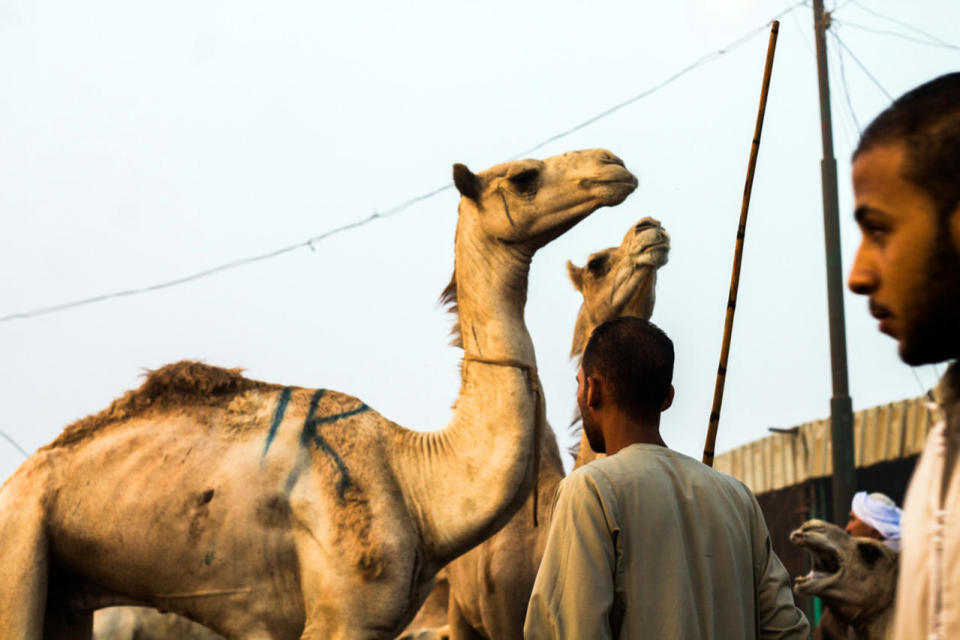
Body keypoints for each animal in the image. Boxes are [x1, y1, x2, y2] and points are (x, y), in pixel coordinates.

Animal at [0, 150, 636, 640]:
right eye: (524, 175)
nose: (614, 164)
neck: (418, 478)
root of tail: (17, 482)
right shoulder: (343, 613)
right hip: (20, 542)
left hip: (65, 591)